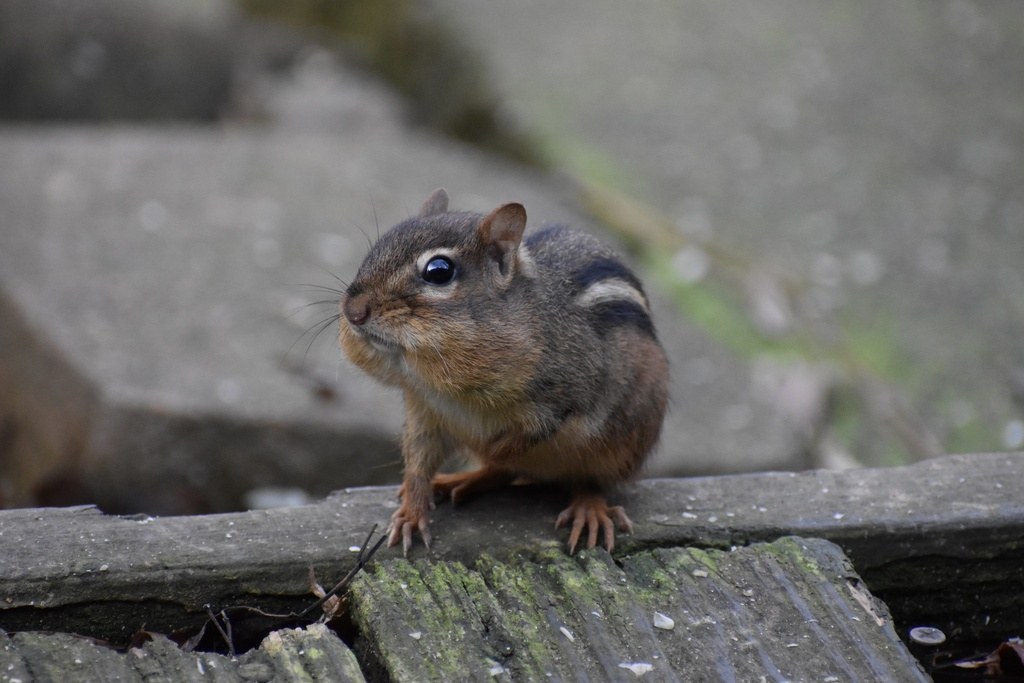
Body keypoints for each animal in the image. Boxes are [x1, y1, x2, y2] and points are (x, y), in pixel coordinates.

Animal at [339, 189, 669, 554]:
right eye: (378, 246)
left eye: (439, 271)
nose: (353, 311)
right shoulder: (425, 410)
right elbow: (419, 464)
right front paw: (412, 511)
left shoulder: (571, 392)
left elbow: (531, 434)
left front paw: (490, 450)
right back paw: (463, 479)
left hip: (622, 440)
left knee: (591, 480)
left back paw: (588, 509)